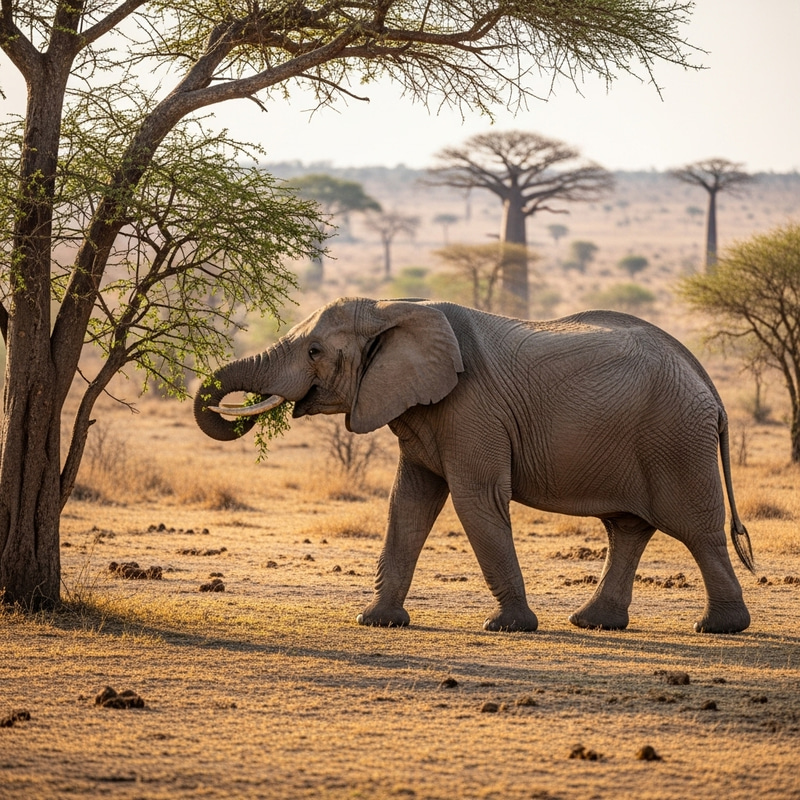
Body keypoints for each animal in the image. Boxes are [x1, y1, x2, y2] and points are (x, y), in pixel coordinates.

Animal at [194, 297, 755, 634]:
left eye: (313, 351)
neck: (390, 308)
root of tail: (710, 388)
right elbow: (408, 504)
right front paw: (376, 621)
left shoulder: (471, 408)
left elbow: (475, 500)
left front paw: (508, 628)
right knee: (627, 528)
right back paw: (592, 623)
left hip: (676, 438)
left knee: (696, 530)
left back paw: (719, 628)